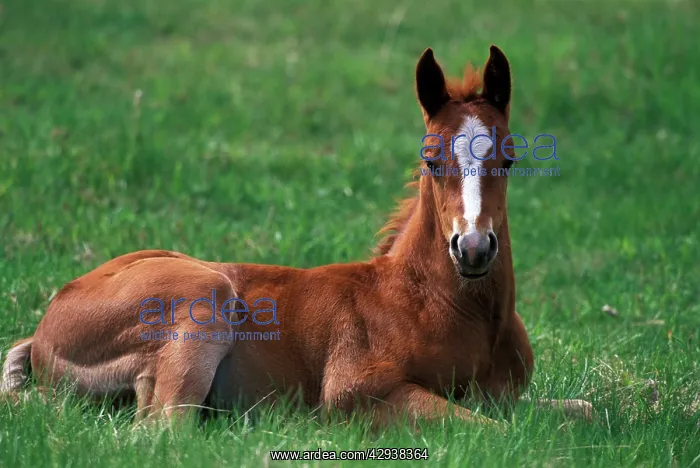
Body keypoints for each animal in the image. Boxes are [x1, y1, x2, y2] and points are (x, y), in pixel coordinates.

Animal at [1, 45, 591, 426]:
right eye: (430, 159)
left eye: (509, 159)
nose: (472, 249)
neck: (442, 304)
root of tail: (44, 330)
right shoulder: (356, 392)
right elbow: (492, 430)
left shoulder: (507, 395)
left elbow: (578, 412)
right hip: (204, 294)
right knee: (164, 429)